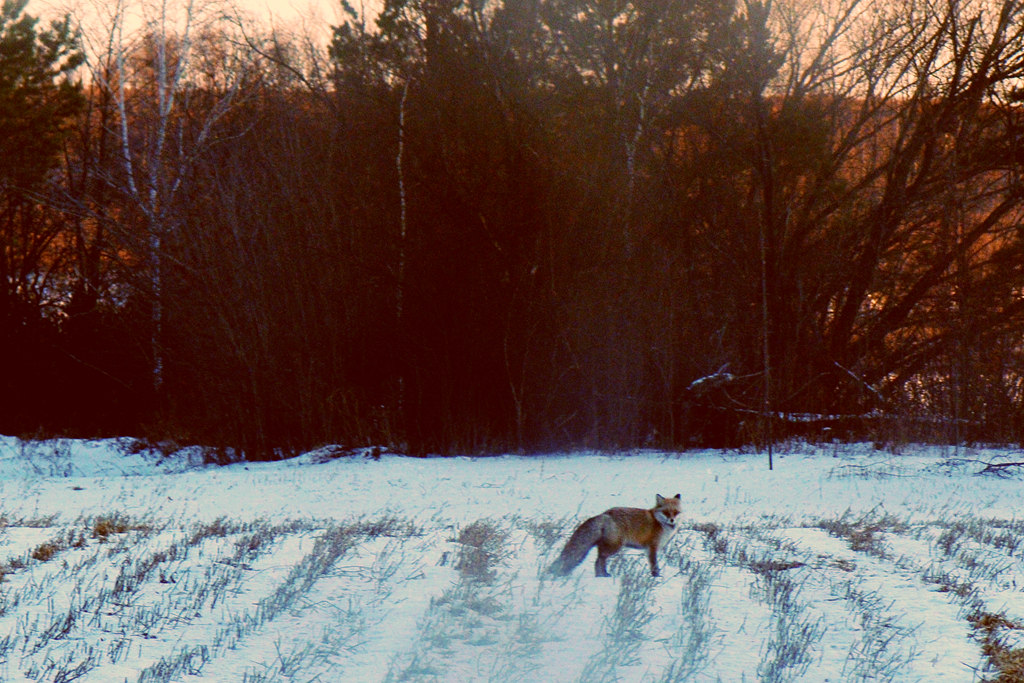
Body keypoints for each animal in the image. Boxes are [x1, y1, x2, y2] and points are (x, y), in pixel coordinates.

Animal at [548, 497, 684, 577]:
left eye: (676, 512)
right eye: (666, 512)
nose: (672, 520)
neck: (660, 523)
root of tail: (605, 514)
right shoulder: (652, 548)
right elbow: (654, 564)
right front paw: (656, 576)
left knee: (599, 560)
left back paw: (601, 575)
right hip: (614, 547)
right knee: (599, 560)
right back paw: (602, 575)